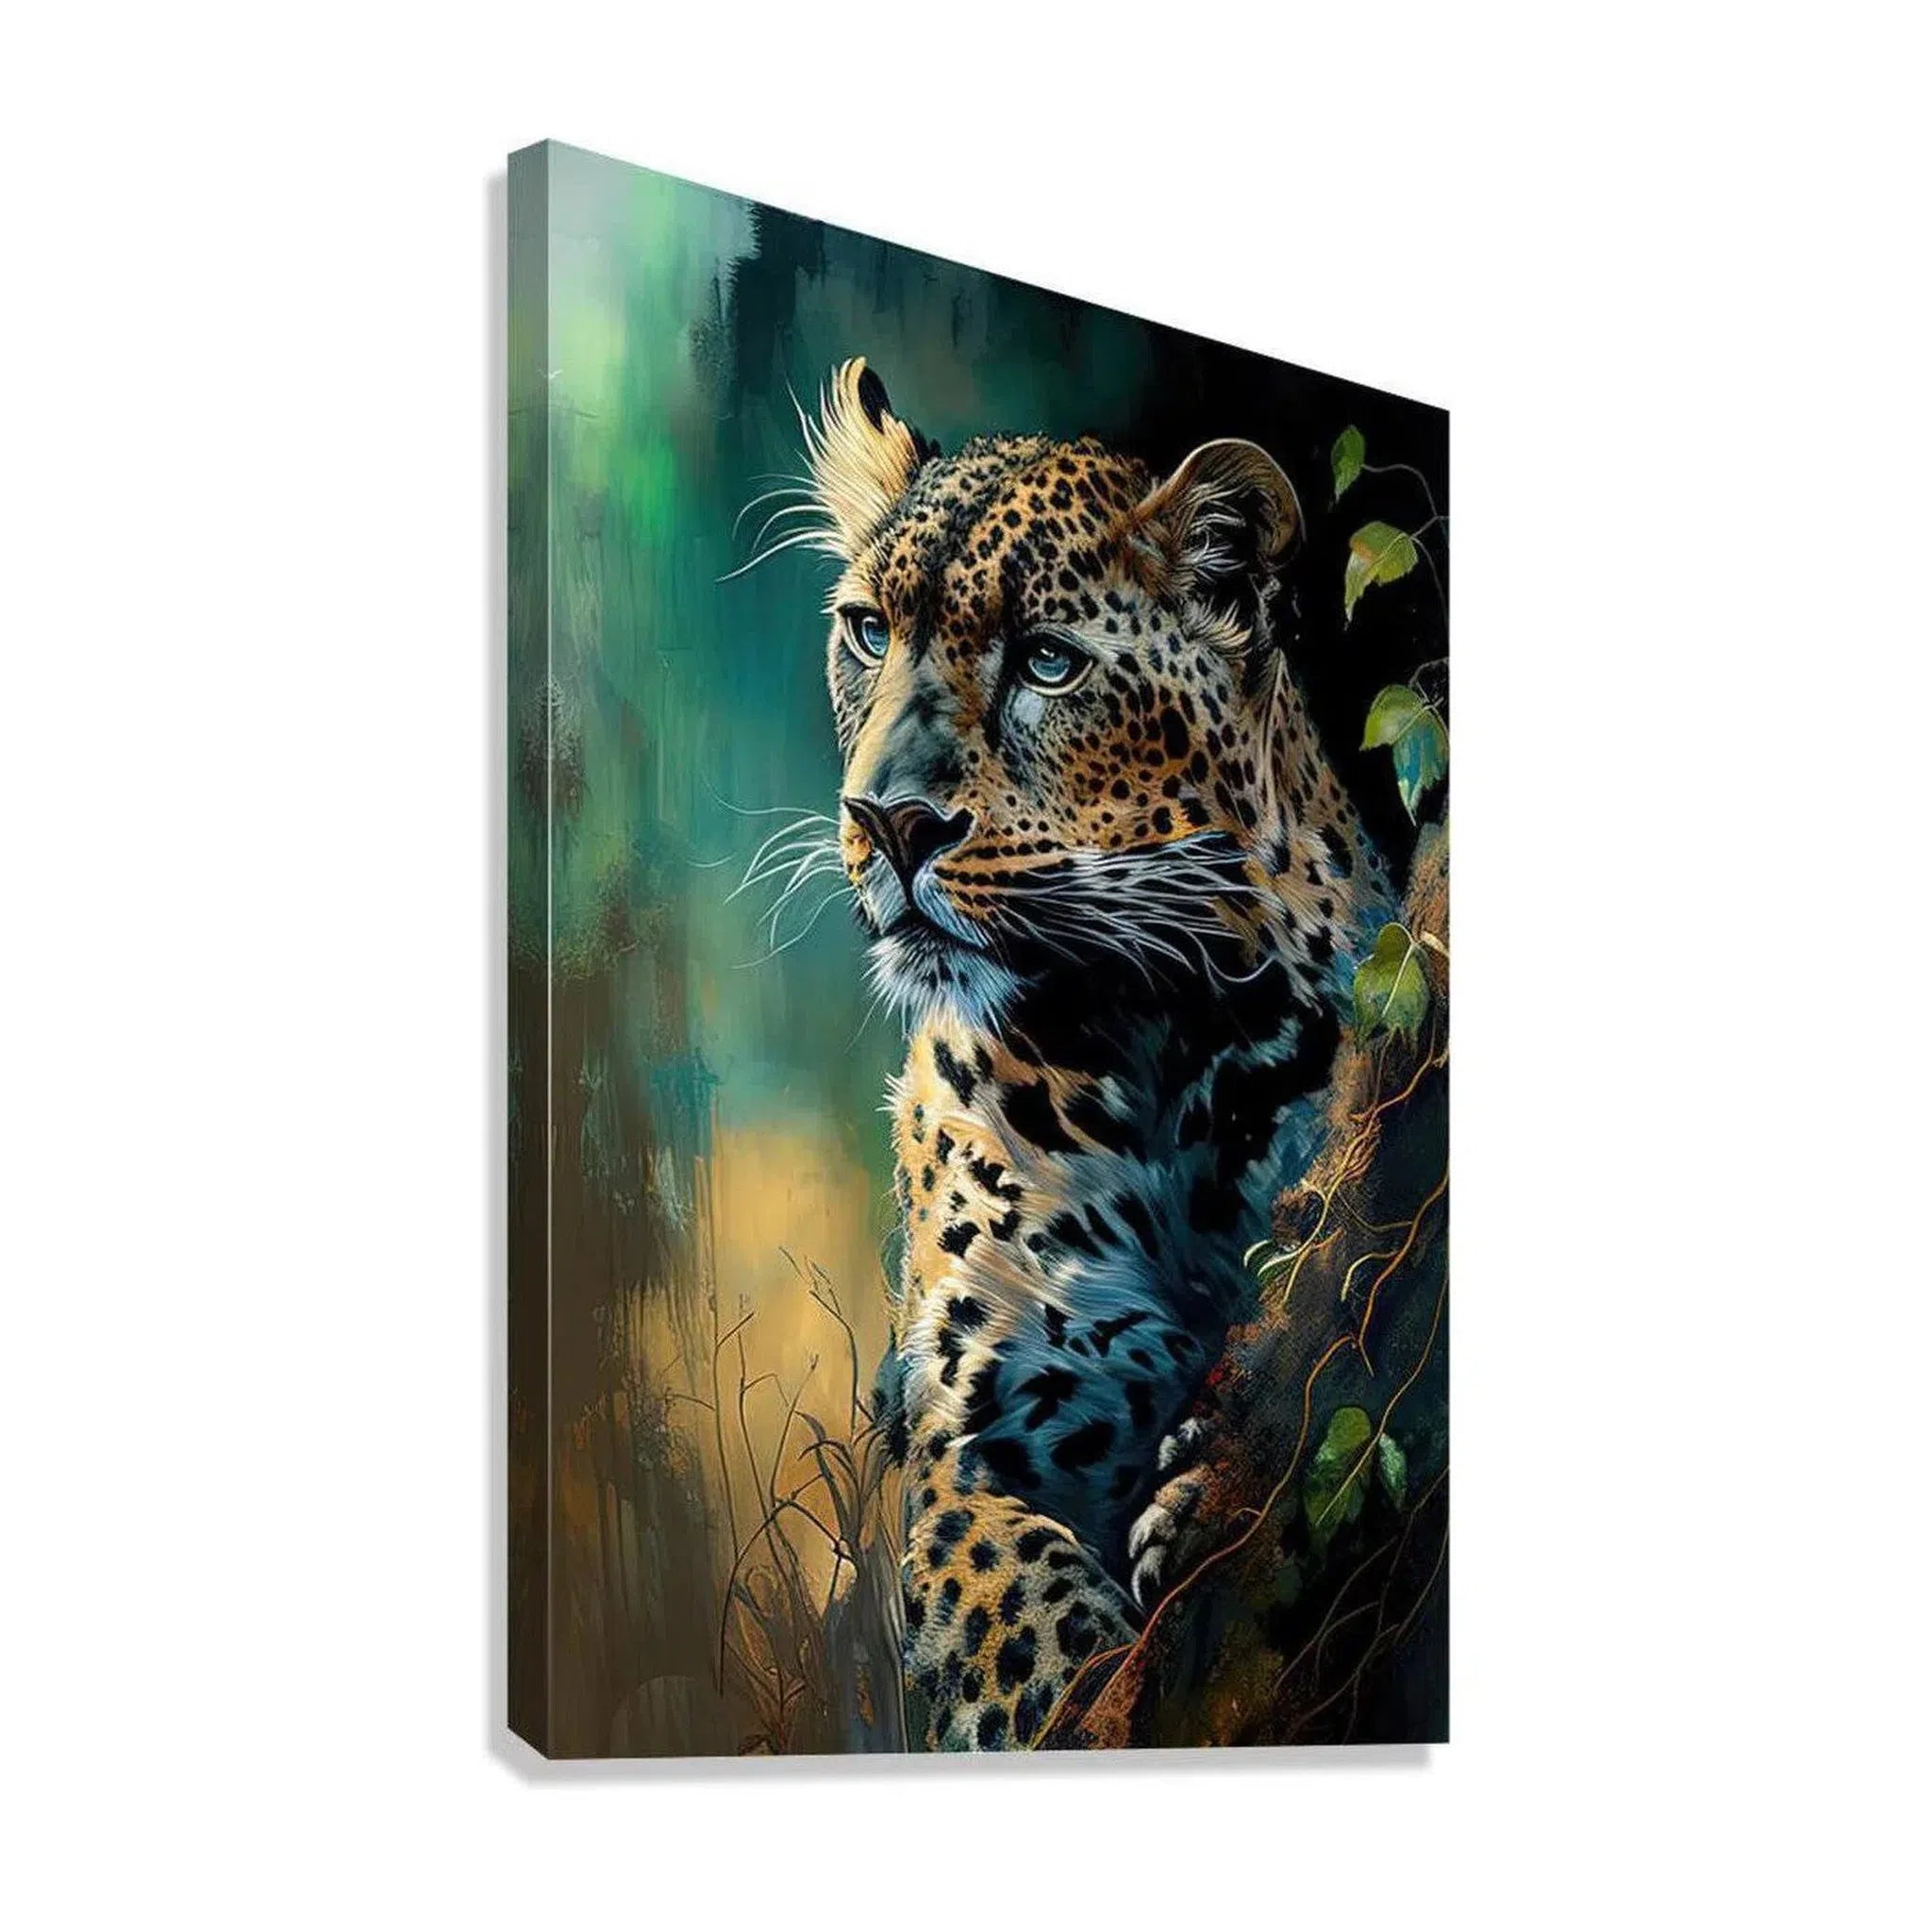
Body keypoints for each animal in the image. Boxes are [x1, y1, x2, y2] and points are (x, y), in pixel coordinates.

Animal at [798, 359, 1395, 1750]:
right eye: (869, 632)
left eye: (1047, 663)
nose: (886, 820)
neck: (1145, 1036)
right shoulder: (971, 1434)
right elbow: (1030, 1631)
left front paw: (1184, 1494)